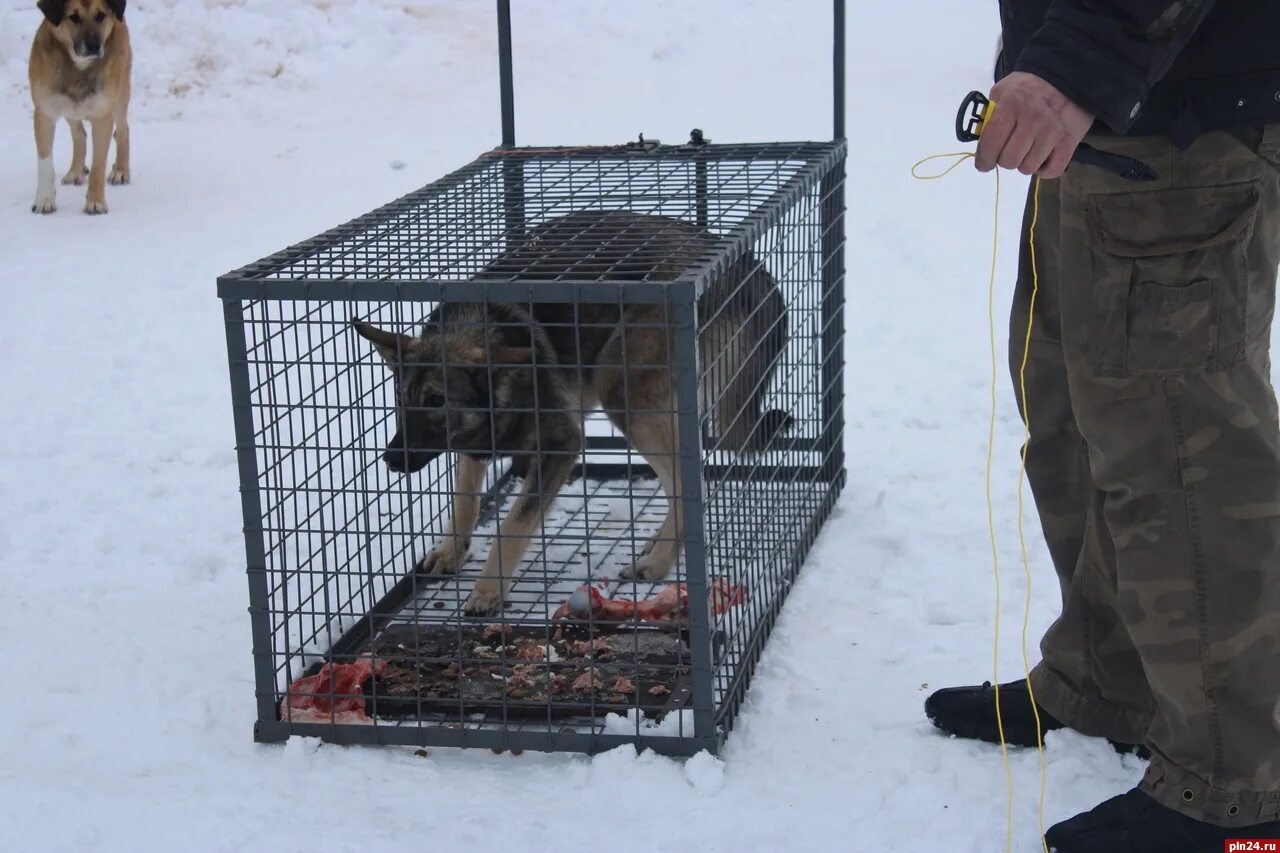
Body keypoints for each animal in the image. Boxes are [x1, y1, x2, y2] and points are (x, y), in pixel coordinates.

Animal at [27, 0, 130, 212]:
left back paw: (121, 170)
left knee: (123, 130)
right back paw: (75, 172)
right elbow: (44, 161)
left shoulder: (103, 115)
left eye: (101, 15)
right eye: (73, 17)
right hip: (69, 107)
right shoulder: (44, 112)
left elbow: (98, 163)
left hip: (120, 95)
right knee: (79, 134)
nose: (93, 46)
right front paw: (44, 200)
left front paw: (96, 202)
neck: (78, 69)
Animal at [353, 210, 788, 614]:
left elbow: (511, 526)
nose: (391, 460)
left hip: (621, 392)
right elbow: (464, 499)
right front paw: (450, 552)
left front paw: (488, 590)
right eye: (402, 397)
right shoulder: (473, 447)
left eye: (436, 400)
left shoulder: (561, 446)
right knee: (680, 481)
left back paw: (658, 563)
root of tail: (736, 258)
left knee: (685, 481)